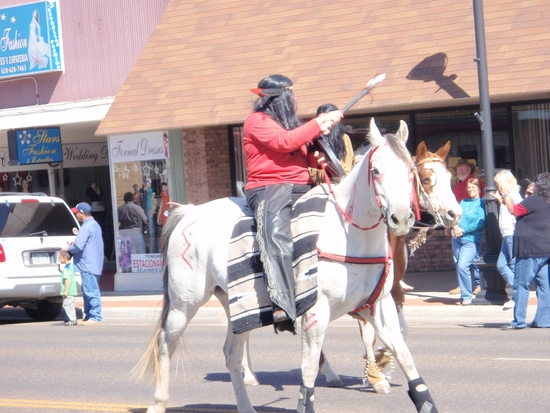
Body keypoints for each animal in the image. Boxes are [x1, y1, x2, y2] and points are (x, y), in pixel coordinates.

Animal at [135, 118, 440, 412]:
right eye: (376, 171)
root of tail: (190, 212)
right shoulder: (317, 312)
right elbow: (309, 371)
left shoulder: (379, 307)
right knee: (166, 345)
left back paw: (246, 407)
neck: (349, 235)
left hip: (238, 307)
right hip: (184, 304)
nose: (401, 218)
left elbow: (406, 360)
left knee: (231, 355)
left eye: (410, 170)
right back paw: (158, 404)